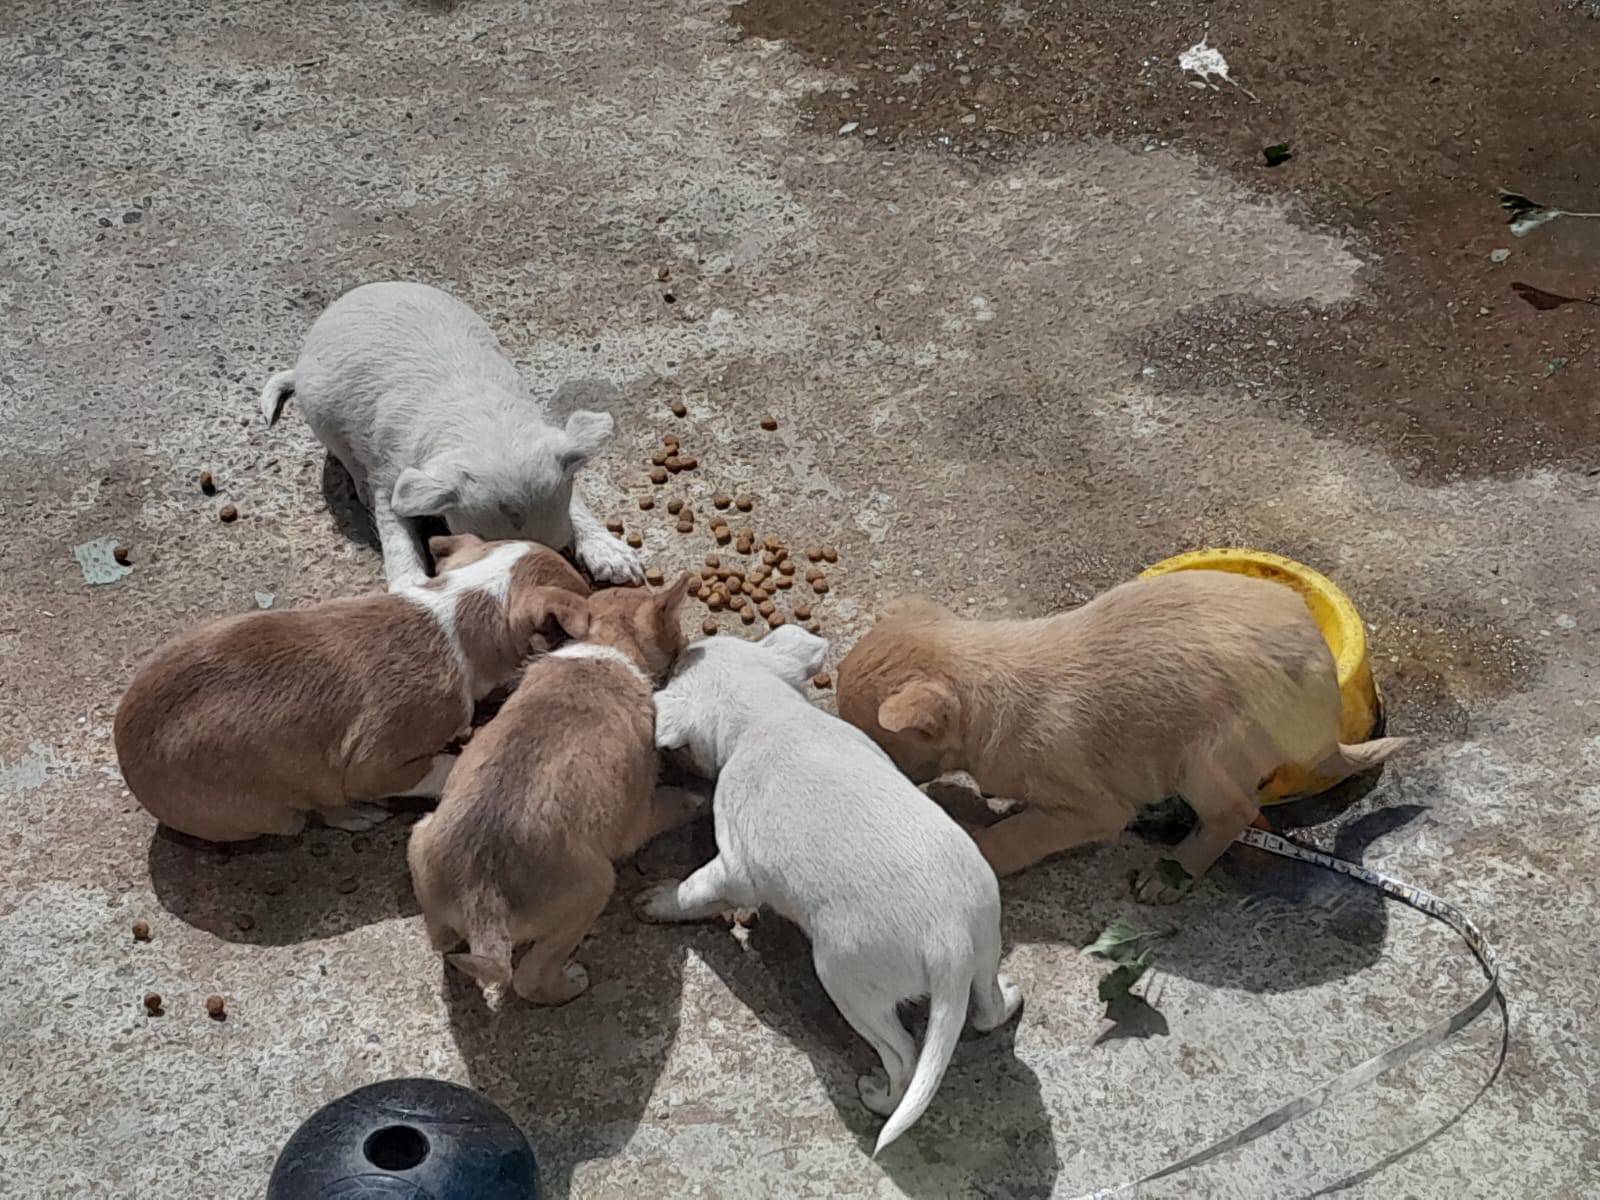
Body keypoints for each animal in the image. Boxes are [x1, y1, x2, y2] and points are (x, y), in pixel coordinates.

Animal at [114, 536, 587, 842]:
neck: (454, 610)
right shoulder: (377, 763)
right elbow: (441, 765)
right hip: (276, 803)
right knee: (312, 809)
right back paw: (355, 814)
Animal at [259, 280, 643, 589]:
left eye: (562, 550)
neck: (481, 425)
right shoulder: (393, 478)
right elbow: (398, 536)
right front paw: (411, 585)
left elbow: (577, 503)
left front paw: (610, 552)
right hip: (322, 417)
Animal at [407, 572, 699, 1004]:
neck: (604, 648)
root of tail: (483, 900)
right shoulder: (638, 819)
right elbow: (672, 805)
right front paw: (695, 800)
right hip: (595, 889)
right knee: (529, 977)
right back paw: (569, 982)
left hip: (420, 837)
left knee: (441, 942)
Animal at [640, 627, 1021, 1155]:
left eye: (677, 669)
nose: (680, 651)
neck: (767, 715)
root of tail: (950, 942)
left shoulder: (735, 868)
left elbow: (695, 889)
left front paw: (659, 900)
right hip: (984, 947)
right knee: (987, 1010)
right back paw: (1010, 996)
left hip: (847, 982)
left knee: (903, 1057)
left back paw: (878, 1096)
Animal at [835, 571, 1410, 901]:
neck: (984, 684)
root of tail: (1327, 721)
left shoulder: (1090, 809)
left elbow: (1015, 834)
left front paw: (983, 849)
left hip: (1209, 756)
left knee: (1233, 814)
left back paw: (1173, 872)